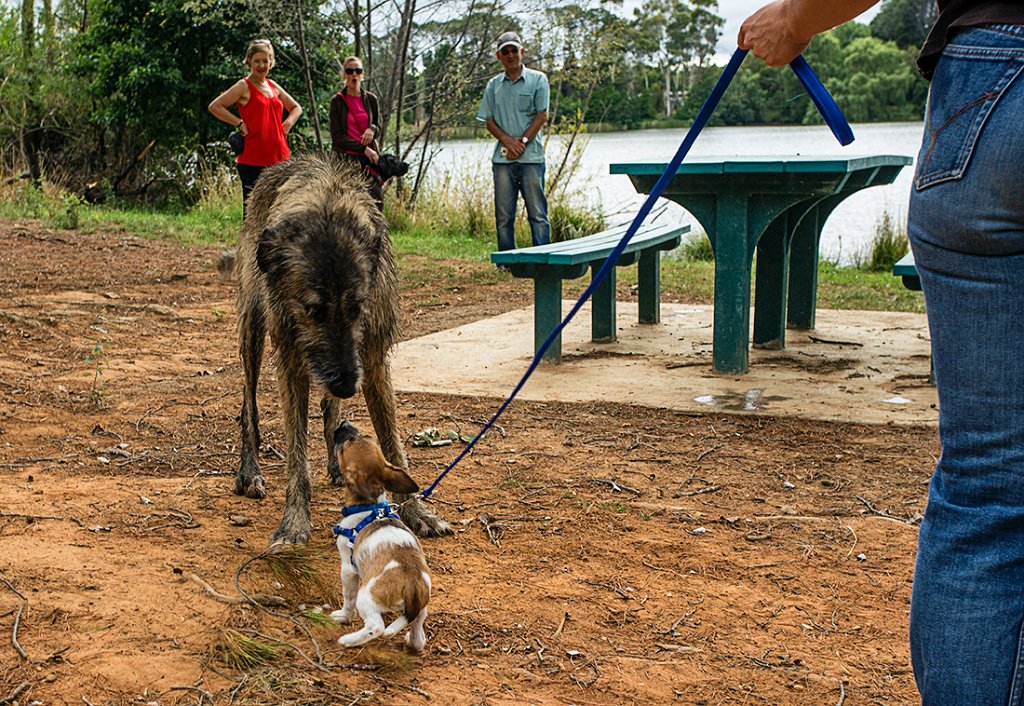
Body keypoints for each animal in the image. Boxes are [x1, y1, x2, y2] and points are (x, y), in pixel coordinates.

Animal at [329, 422, 430, 651]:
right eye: (367, 436)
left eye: (343, 448)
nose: (344, 423)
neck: (371, 505)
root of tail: (414, 584)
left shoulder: (347, 568)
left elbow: (347, 598)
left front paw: (343, 617)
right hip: (421, 609)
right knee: (418, 633)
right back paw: (411, 642)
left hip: (366, 599)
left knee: (376, 627)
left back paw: (348, 640)